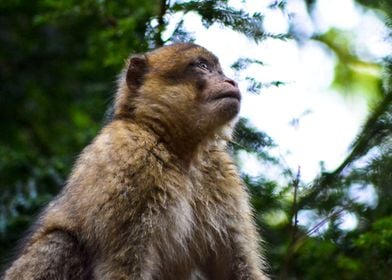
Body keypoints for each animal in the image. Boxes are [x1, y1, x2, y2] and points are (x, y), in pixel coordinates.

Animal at [3, 42, 268, 278]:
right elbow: (122, 265)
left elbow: (240, 270)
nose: (230, 81)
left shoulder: (220, 173)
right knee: (61, 241)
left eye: (219, 71)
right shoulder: (131, 160)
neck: (182, 151)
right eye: (202, 66)